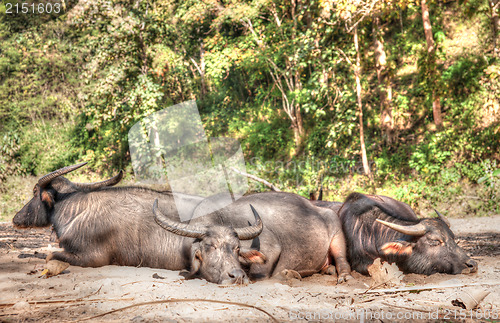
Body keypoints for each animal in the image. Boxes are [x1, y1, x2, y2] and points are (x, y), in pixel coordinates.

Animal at [13, 163, 354, 284]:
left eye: (33, 194)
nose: (16, 218)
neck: (75, 211)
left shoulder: (92, 257)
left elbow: (50, 254)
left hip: (337, 239)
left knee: (343, 262)